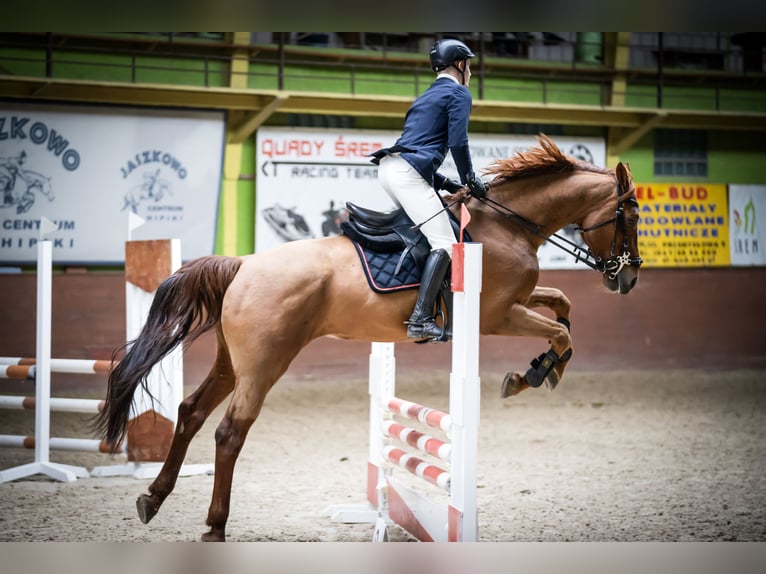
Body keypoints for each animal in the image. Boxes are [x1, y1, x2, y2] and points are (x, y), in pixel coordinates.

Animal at [94, 135, 640, 544]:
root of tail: (244, 263)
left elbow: (563, 306)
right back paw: (214, 526)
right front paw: (532, 374)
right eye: (632, 216)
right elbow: (560, 329)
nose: (629, 278)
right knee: (230, 432)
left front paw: (542, 369)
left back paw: (153, 498)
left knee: (190, 413)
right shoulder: (498, 314)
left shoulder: (518, 304)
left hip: (233, 362)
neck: (508, 226)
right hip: (265, 364)